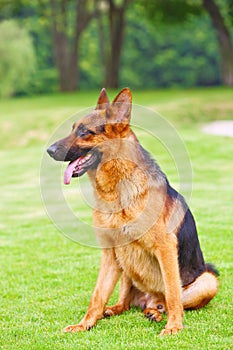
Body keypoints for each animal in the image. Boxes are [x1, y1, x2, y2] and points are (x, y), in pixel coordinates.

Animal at [47, 87, 218, 334]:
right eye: (73, 129)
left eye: (84, 132)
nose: (48, 150)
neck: (117, 192)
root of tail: (149, 299)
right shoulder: (110, 254)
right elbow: (97, 295)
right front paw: (85, 323)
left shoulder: (165, 248)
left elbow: (173, 293)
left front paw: (174, 326)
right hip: (126, 265)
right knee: (126, 303)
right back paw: (120, 309)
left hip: (208, 280)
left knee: (168, 300)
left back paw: (157, 313)